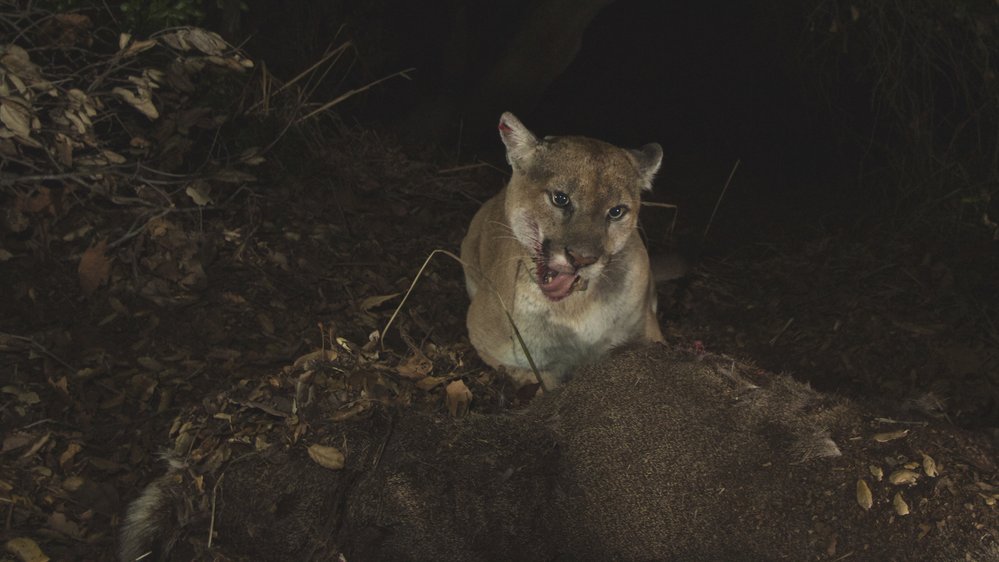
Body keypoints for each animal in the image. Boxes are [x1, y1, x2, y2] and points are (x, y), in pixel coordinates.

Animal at [462, 111, 672, 388]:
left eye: (616, 212)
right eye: (560, 199)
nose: (582, 258)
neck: (574, 307)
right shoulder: (485, 339)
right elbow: (544, 377)